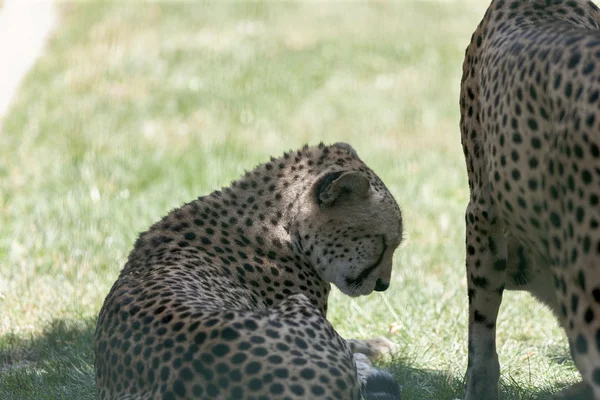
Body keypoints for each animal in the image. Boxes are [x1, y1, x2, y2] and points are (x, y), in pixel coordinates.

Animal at [94, 143, 404, 400]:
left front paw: (377, 345)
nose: (383, 284)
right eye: (383, 242)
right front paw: (373, 352)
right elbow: (347, 347)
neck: (280, 223)